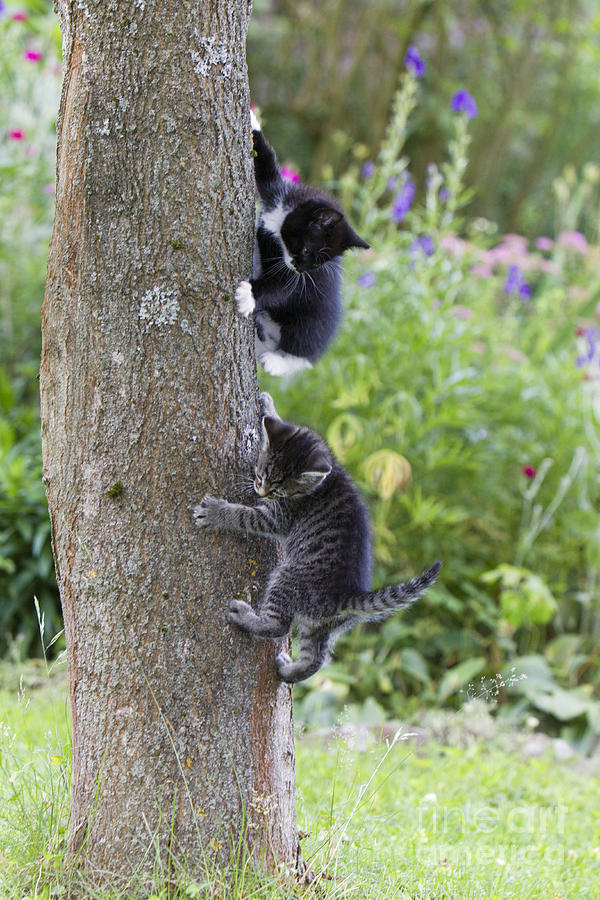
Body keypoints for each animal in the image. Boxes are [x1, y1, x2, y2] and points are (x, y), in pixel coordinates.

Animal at [193, 392, 440, 684]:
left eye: (277, 489)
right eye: (261, 475)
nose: (260, 490)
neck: (324, 480)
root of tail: (348, 592)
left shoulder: (279, 517)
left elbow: (245, 516)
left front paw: (217, 513)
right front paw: (268, 405)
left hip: (288, 578)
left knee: (278, 626)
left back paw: (246, 618)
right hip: (322, 624)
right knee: (316, 659)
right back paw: (290, 671)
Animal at [236, 112, 370, 376]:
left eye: (317, 264)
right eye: (307, 250)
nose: (301, 268)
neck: (280, 221)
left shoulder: (293, 278)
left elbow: (281, 287)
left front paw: (248, 294)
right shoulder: (276, 193)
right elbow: (264, 160)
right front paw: (253, 121)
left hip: (314, 317)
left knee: (305, 348)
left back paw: (278, 361)